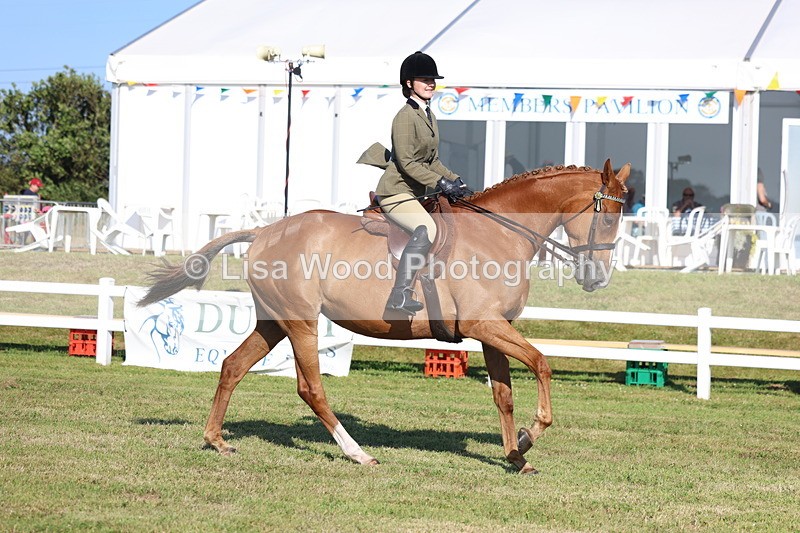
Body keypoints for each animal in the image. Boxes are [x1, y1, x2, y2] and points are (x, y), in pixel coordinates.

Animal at [139, 160, 630, 474]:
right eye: (608, 218)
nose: (598, 279)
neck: (499, 231)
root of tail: (264, 231)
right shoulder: (485, 325)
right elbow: (543, 364)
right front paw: (530, 435)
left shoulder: (495, 330)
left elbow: (503, 395)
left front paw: (514, 454)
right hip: (301, 323)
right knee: (311, 388)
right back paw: (358, 454)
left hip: (274, 323)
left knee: (232, 366)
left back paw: (216, 440)